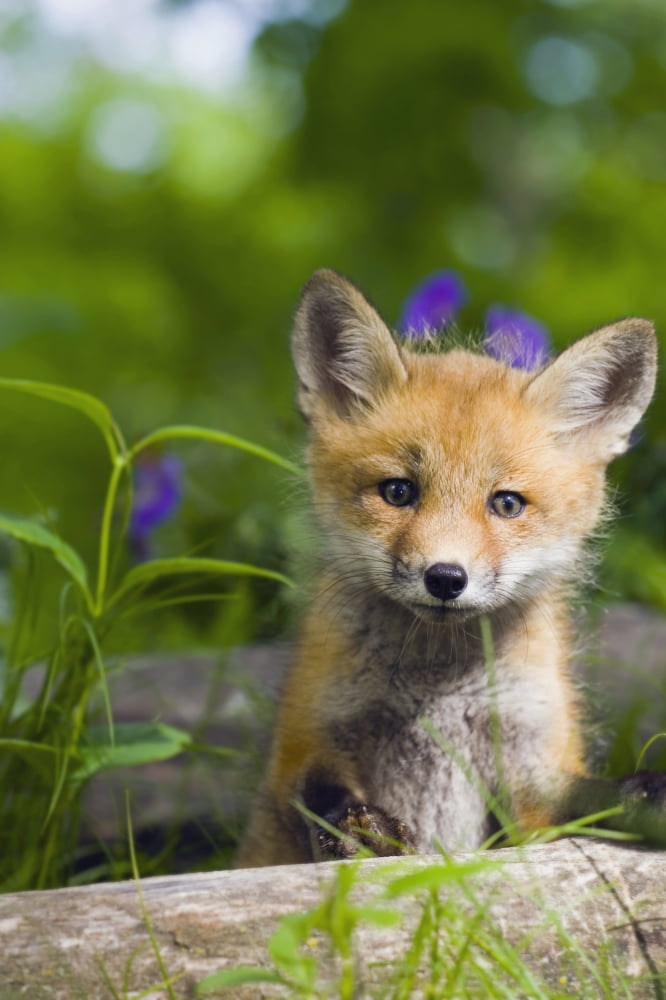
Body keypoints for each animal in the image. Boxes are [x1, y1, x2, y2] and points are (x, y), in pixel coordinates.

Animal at [237, 268, 665, 868]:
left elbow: (586, 801)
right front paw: (359, 826)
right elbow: (316, 794)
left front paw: (644, 797)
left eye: (506, 503)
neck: (438, 688)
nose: (444, 578)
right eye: (398, 492)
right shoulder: (309, 739)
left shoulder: (533, 769)